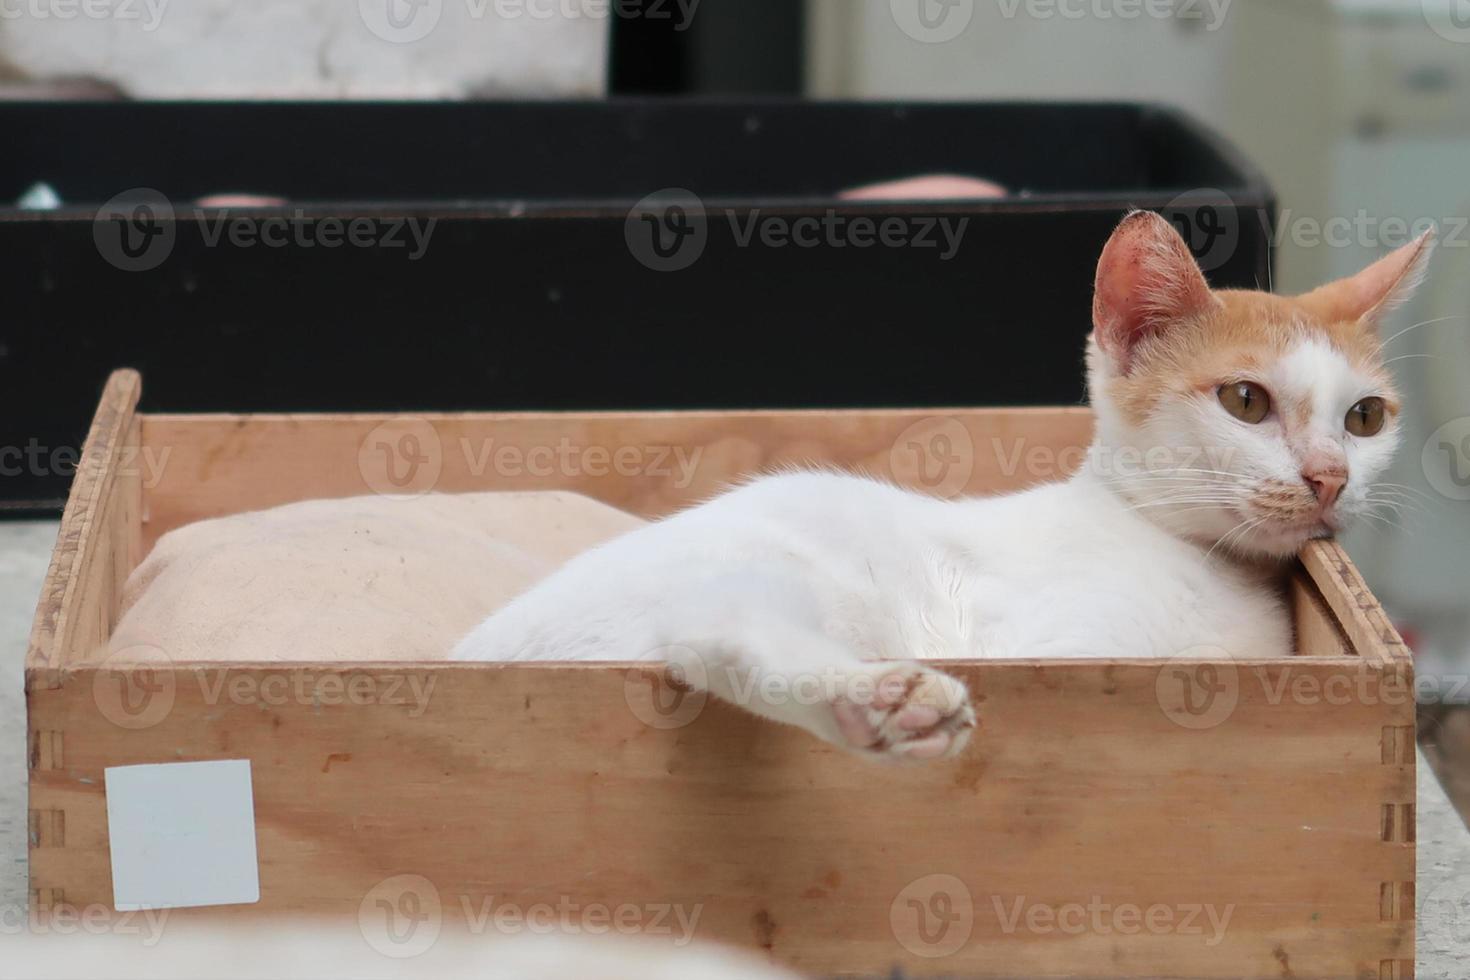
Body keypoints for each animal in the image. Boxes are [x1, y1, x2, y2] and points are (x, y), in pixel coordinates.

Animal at [452, 213, 1428, 764]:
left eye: (1365, 418)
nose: (1330, 477)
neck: (1203, 565)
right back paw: (880, 701)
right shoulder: (1049, 642)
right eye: (1245, 401)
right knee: (713, 631)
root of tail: (481, 652)